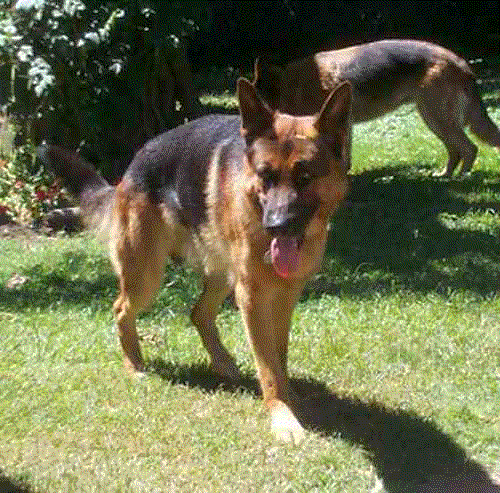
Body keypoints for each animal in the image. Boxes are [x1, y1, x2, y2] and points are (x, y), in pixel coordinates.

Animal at [36, 78, 352, 442]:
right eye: (265, 176)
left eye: (305, 178)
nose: (274, 226)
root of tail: (131, 166)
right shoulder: (253, 297)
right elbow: (268, 366)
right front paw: (282, 415)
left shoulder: (285, 297)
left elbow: (278, 355)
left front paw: (289, 396)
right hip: (147, 275)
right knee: (121, 309)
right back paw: (135, 365)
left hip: (219, 274)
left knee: (198, 313)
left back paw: (223, 363)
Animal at [254, 39, 500, 177]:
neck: (291, 85)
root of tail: (462, 64)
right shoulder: (344, 125)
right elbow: (345, 158)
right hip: (435, 120)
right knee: (456, 150)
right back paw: (445, 175)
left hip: (436, 118)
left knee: (469, 149)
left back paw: (461, 177)